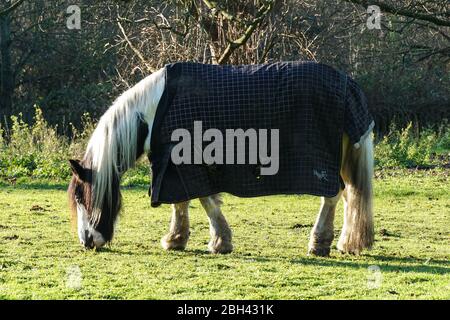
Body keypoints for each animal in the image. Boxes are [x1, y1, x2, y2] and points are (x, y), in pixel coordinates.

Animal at [67, 62, 376, 258]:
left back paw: (319, 243)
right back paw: (347, 243)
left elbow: (205, 201)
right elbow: (181, 202)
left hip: (324, 164)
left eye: (81, 197)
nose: (86, 241)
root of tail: (348, 85)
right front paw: (176, 239)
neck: (155, 111)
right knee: (349, 196)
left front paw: (219, 241)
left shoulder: (191, 163)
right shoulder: (174, 166)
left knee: (332, 195)